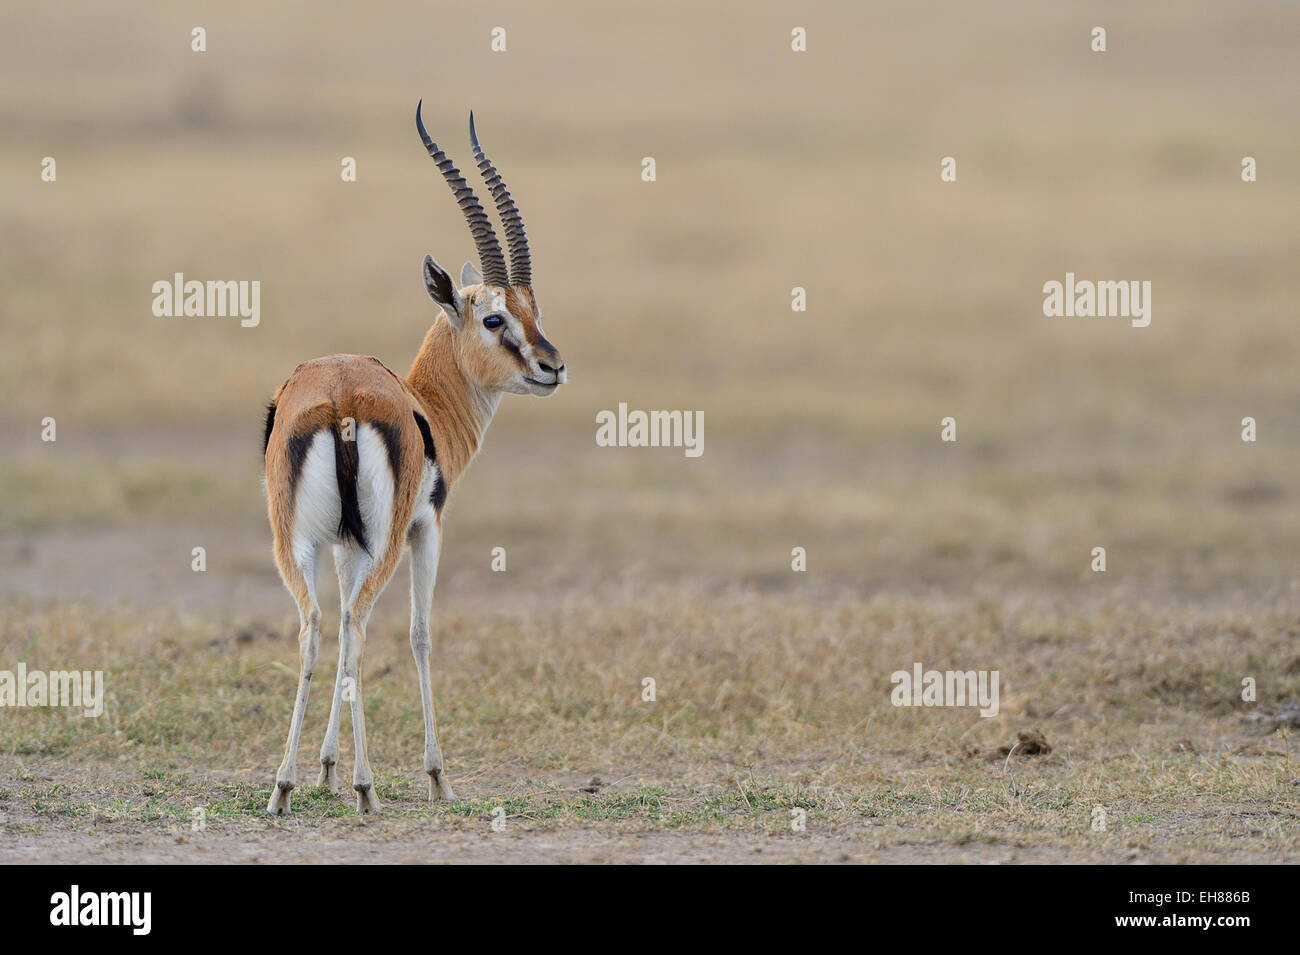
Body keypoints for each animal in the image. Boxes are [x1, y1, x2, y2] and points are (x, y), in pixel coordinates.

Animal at [262, 102, 565, 814]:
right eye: (493, 318)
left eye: (533, 308)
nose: (552, 366)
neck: (422, 402)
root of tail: (343, 401)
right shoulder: (427, 528)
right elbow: (422, 634)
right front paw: (437, 777)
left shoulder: (346, 544)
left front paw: (325, 769)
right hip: (386, 543)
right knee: (357, 625)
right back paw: (369, 788)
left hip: (297, 543)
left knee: (320, 623)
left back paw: (284, 787)